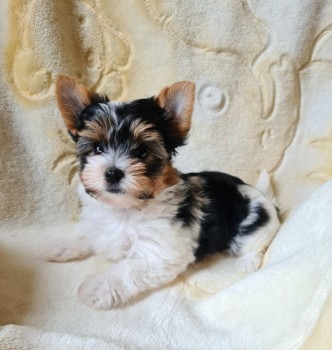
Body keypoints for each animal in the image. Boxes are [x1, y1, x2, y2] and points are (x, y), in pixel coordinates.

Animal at [42, 76, 280, 308]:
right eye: (98, 148)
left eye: (142, 152)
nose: (112, 173)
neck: (125, 208)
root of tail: (264, 199)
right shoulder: (99, 224)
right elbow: (85, 232)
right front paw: (59, 246)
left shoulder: (159, 253)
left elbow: (128, 271)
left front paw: (95, 287)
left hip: (253, 227)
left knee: (257, 243)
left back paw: (246, 262)